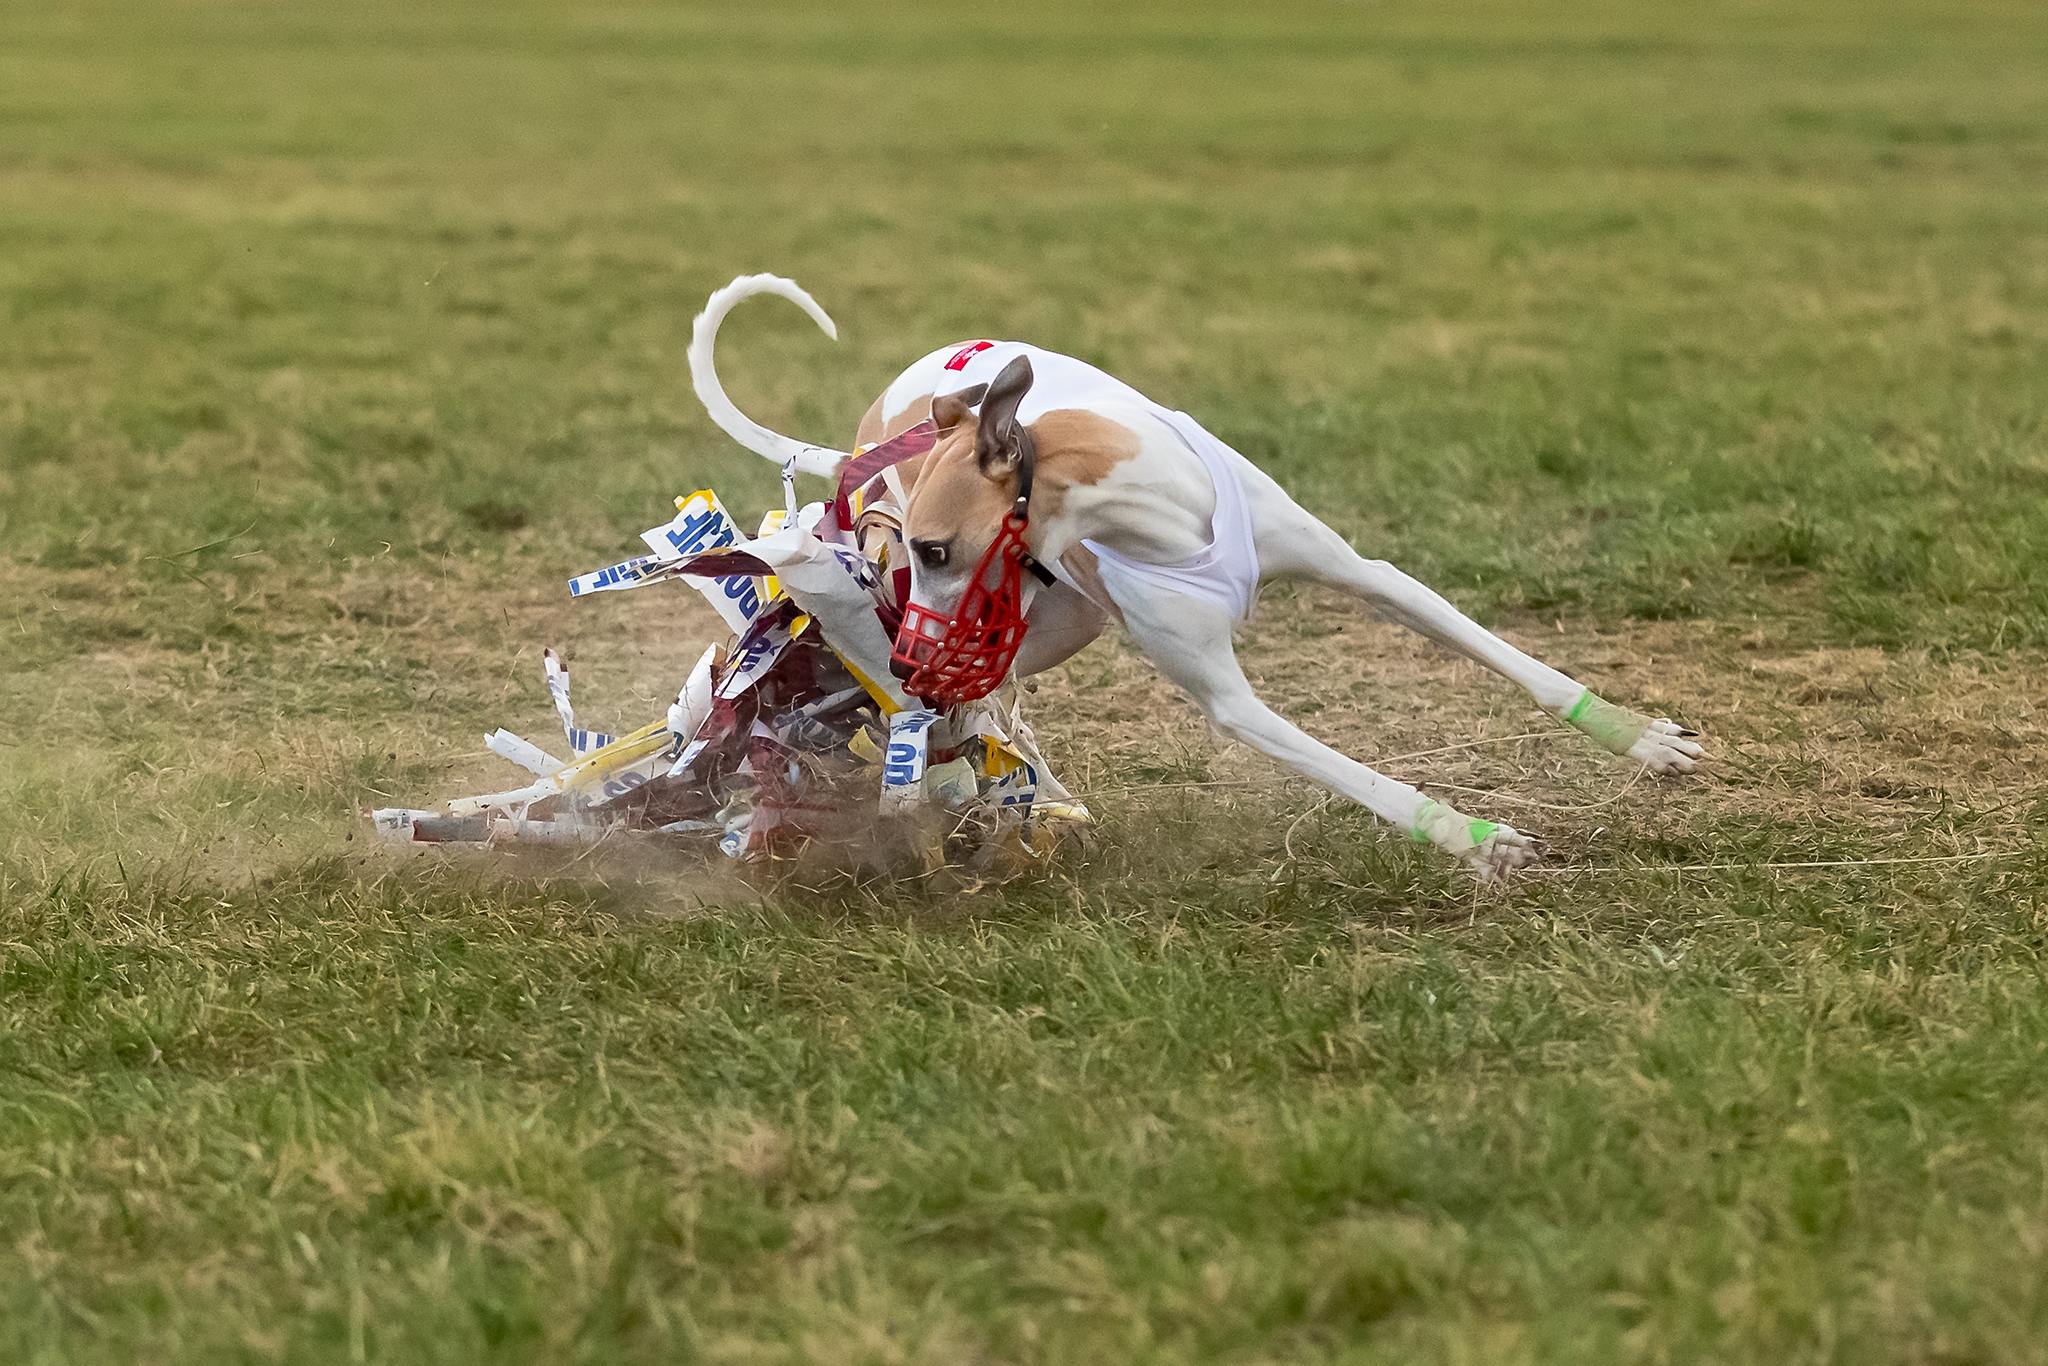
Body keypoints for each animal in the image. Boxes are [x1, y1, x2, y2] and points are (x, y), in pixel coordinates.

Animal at [689, 275, 1703, 879]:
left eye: (941, 551)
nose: (905, 659)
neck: (1161, 518)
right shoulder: (1231, 702)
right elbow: (1364, 778)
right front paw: (1484, 842)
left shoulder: (1365, 572)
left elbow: (1514, 662)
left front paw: (1648, 741)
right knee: (970, 712)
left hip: (1048, 624)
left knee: (988, 706)